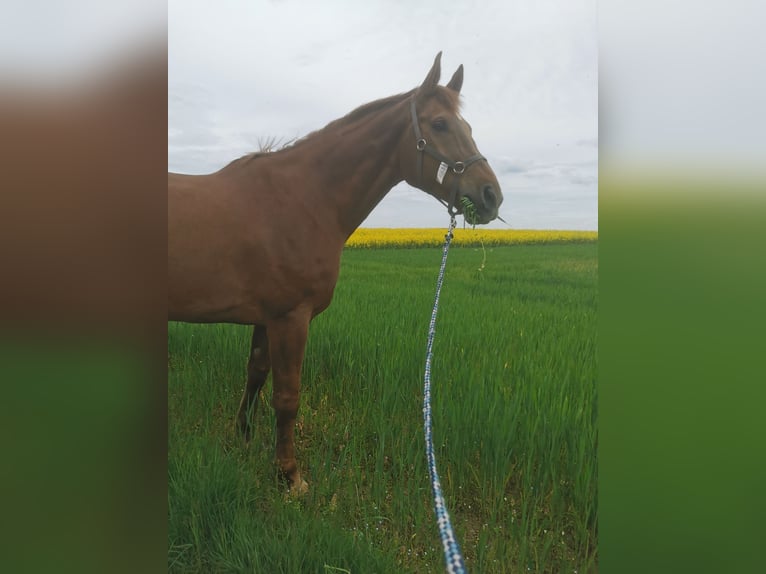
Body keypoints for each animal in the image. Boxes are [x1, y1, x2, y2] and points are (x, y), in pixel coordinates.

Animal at [168, 53, 504, 496]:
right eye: (439, 124)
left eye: (467, 127)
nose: (491, 196)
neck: (305, 199)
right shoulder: (290, 318)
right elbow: (287, 397)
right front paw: (289, 475)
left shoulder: (266, 319)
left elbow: (255, 375)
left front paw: (243, 437)